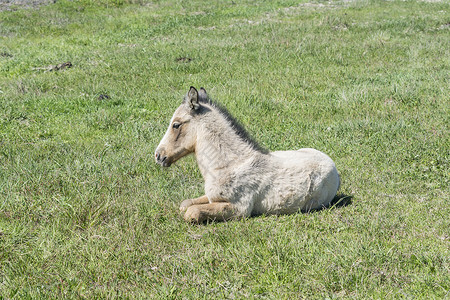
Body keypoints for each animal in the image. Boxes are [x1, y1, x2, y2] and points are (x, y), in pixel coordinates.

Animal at [156, 86, 342, 223]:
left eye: (176, 125)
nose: (158, 155)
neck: (229, 165)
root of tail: (333, 166)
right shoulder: (211, 197)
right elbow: (186, 204)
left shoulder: (239, 208)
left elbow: (191, 212)